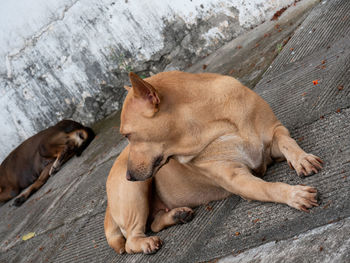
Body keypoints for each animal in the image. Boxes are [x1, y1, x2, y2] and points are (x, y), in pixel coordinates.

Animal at [104, 71, 322, 256]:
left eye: (127, 135)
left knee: (154, 223)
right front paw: (293, 194)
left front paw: (301, 159)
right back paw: (145, 242)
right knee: (131, 241)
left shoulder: (274, 132)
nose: (129, 176)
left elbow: (287, 142)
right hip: (136, 191)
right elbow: (269, 188)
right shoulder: (237, 180)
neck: (209, 125)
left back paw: (176, 216)